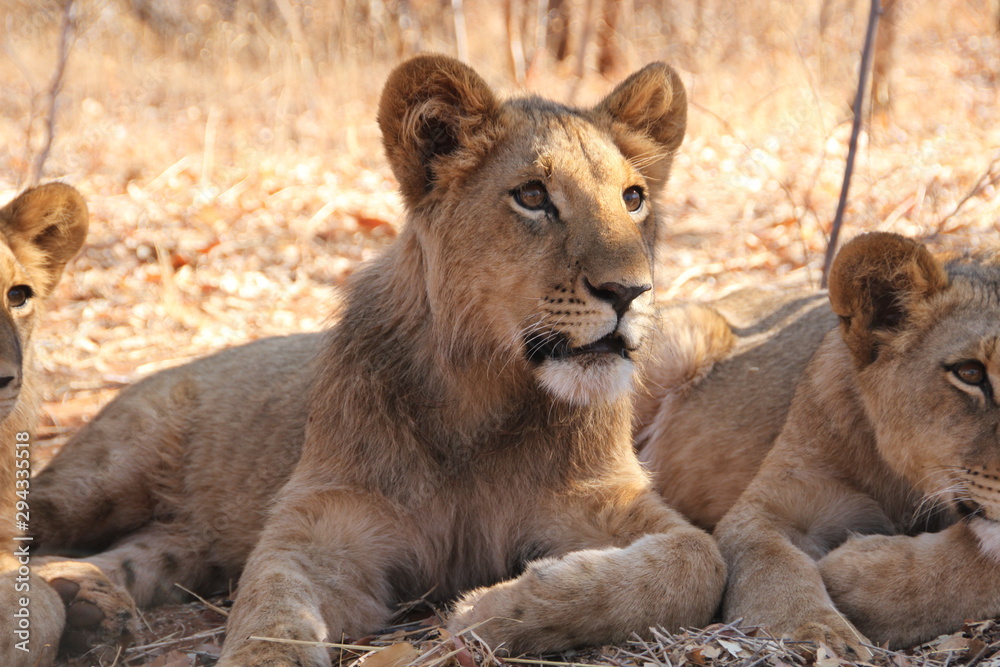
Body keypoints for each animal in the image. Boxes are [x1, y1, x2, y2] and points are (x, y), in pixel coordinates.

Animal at [32, 55, 726, 664]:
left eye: (633, 198)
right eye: (532, 196)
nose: (630, 291)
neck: (482, 392)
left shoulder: (608, 498)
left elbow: (698, 561)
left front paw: (501, 608)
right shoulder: (326, 528)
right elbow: (271, 609)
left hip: (182, 545)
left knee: (126, 554)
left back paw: (91, 602)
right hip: (99, 476)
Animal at [637, 231, 1000, 656]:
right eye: (970, 373)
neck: (904, 483)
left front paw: (857, 574)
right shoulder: (773, 507)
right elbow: (775, 567)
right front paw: (819, 634)